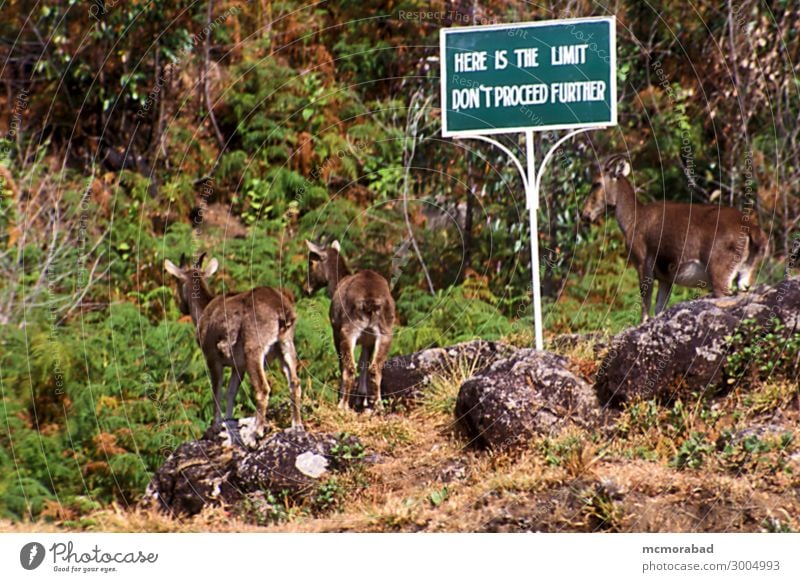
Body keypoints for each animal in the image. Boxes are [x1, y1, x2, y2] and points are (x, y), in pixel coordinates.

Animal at [162, 256, 304, 434]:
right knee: (295, 383)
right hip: (286, 344)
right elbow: (231, 392)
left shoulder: (212, 357)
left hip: (254, 346)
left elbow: (217, 391)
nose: (182, 307)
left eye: (176, 281)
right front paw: (228, 420)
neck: (203, 311)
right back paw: (297, 425)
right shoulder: (239, 365)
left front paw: (216, 424)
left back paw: (255, 432)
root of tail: (282, 312)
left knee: (263, 388)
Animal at [304, 241, 396, 410]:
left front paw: (344, 398)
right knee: (375, 367)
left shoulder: (335, 331)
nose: (307, 289)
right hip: (385, 331)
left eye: (311, 262)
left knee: (349, 366)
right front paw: (362, 399)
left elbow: (343, 364)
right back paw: (378, 405)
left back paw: (343, 405)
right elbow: (363, 364)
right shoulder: (368, 340)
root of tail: (369, 301)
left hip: (348, 330)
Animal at [580, 157, 768, 322]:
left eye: (596, 183)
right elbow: (659, 307)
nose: (585, 214)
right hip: (746, 271)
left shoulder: (643, 264)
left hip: (719, 270)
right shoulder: (666, 277)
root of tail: (753, 230)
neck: (633, 219)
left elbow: (645, 307)